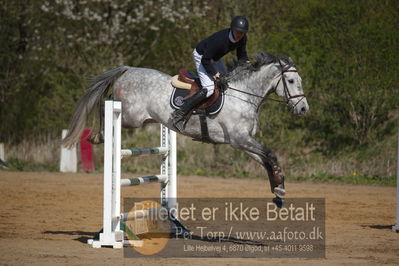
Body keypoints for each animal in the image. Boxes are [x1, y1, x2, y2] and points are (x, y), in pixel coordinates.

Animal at [64, 51, 310, 206]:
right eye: (290, 81)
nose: (304, 109)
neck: (244, 95)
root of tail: (129, 69)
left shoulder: (241, 142)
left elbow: (266, 160)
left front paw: (278, 190)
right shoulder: (240, 139)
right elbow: (270, 154)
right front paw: (279, 188)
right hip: (130, 116)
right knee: (105, 107)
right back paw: (97, 135)